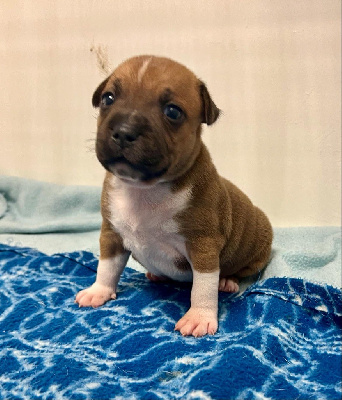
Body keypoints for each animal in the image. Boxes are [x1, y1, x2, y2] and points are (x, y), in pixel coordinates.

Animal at [75, 55, 272, 338]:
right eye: (108, 99)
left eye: (173, 112)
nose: (124, 131)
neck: (144, 190)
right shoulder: (111, 234)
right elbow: (107, 266)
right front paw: (98, 291)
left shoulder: (202, 245)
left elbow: (202, 286)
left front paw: (199, 316)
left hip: (257, 248)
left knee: (239, 271)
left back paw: (227, 280)